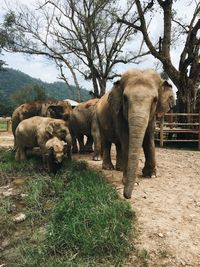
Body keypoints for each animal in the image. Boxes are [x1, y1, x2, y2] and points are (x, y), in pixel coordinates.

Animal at [95, 69, 175, 199]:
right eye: (125, 98)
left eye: (155, 100)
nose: (127, 196)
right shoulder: (119, 113)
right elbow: (126, 140)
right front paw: (135, 182)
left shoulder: (152, 117)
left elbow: (148, 139)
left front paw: (151, 175)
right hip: (100, 120)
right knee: (107, 142)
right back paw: (108, 167)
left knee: (118, 144)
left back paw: (119, 168)